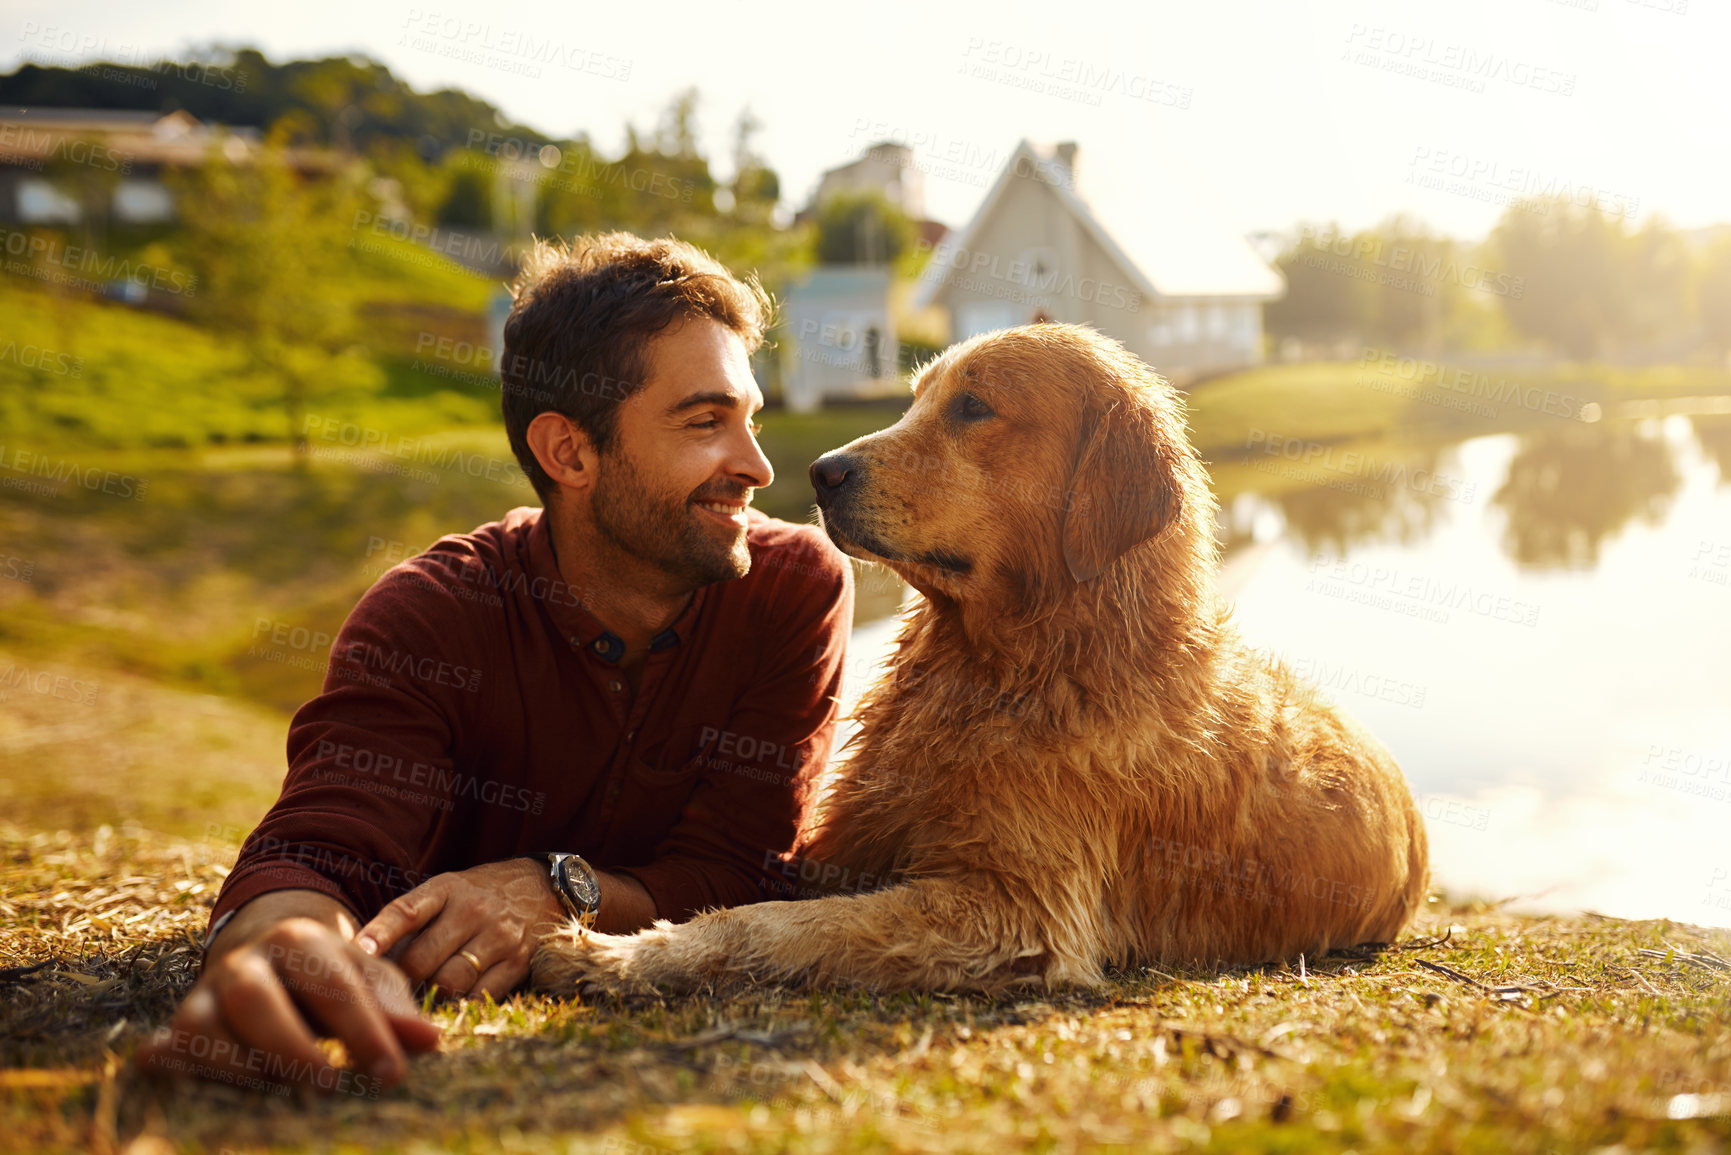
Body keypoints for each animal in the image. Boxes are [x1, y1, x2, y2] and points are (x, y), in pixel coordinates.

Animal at [533, 323, 1426, 997]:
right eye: (917, 397)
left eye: (973, 406)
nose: (820, 473)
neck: (1011, 666)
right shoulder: (844, 841)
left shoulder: (1014, 910)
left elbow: (766, 924)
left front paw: (616, 954)